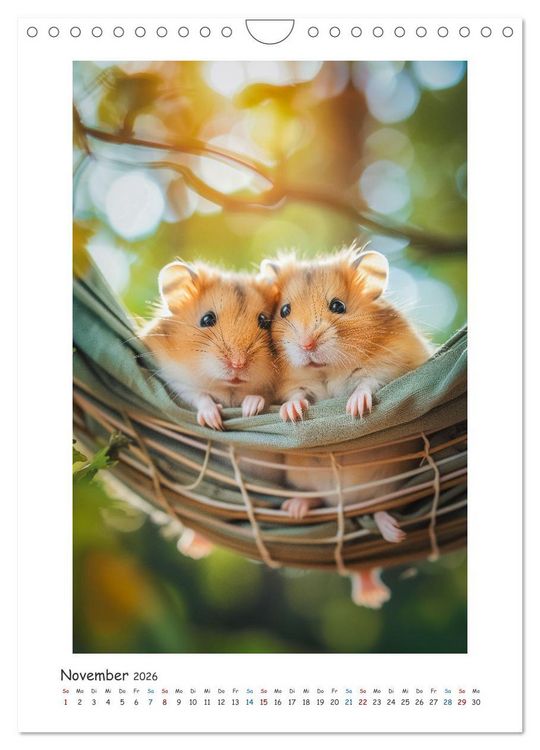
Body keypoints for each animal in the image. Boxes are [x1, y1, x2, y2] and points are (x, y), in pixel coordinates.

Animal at [262, 243, 432, 607]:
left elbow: (367, 383)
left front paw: (357, 409)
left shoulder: (389, 365)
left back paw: (391, 537)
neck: (326, 369)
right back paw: (296, 508)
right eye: (284, 310)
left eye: (338, 306)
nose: (307, 345)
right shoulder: (292, 383)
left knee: (382, 509)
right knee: (321, 501)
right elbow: (296, 394)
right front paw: (292, 414)